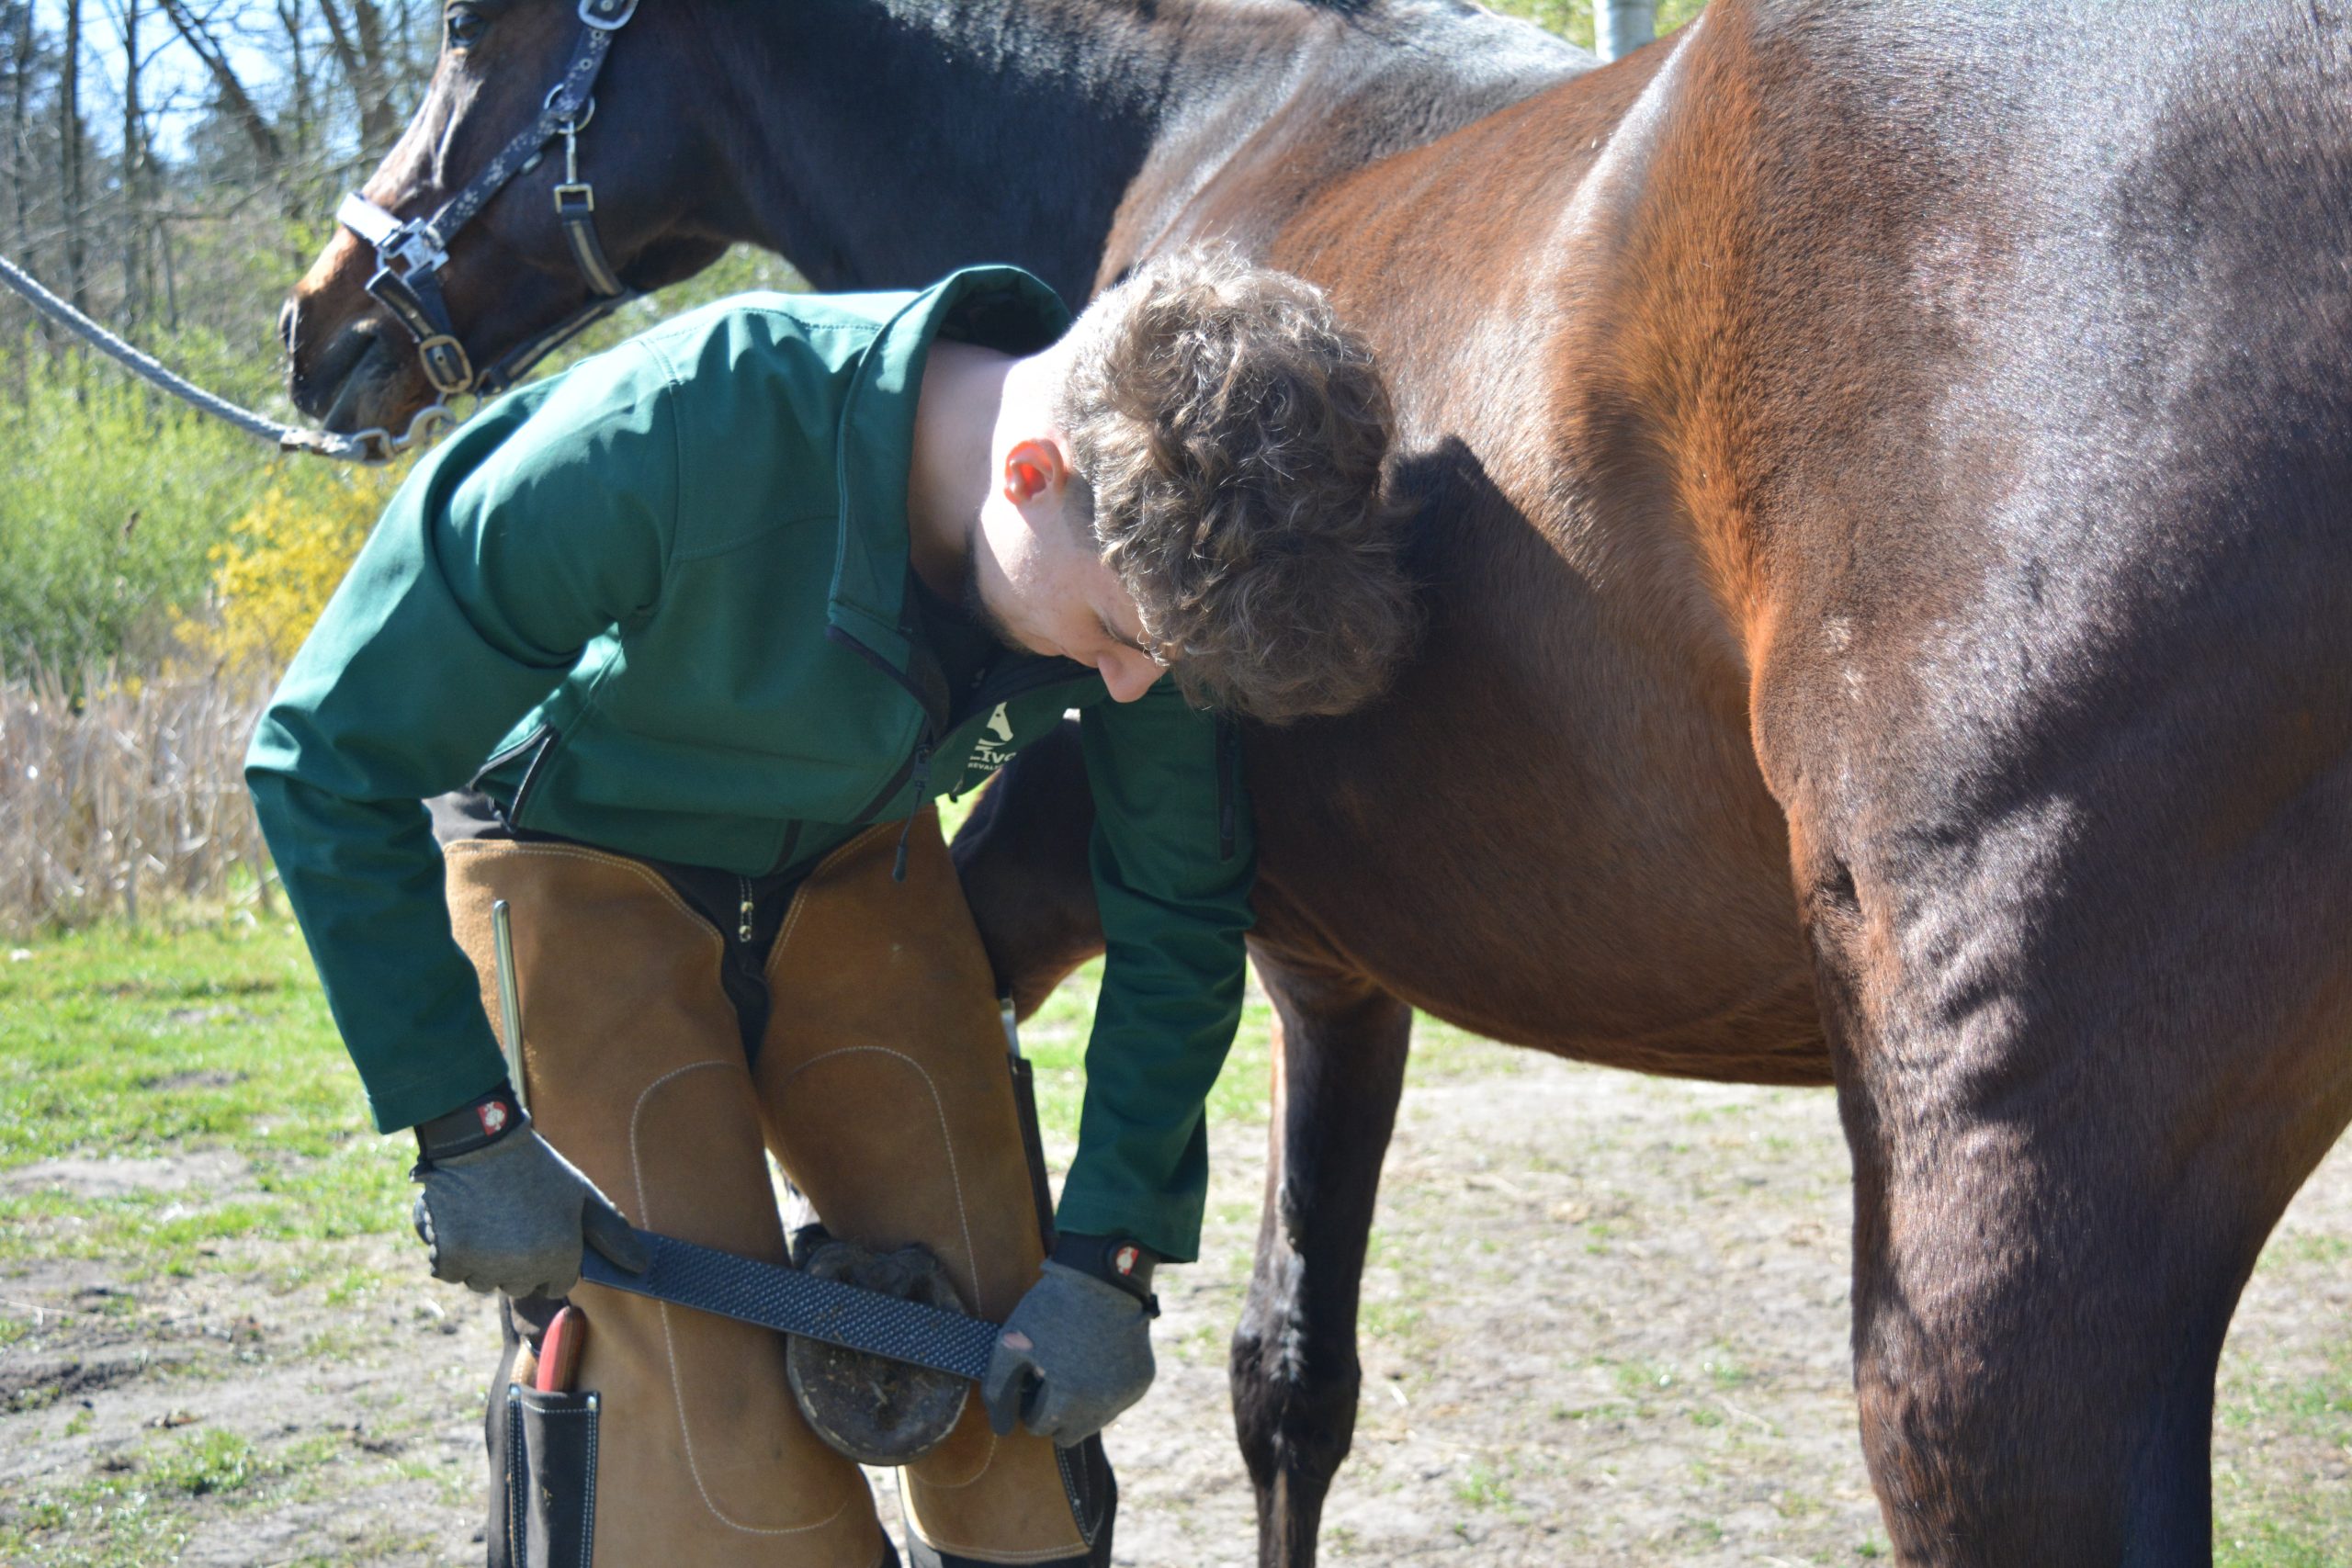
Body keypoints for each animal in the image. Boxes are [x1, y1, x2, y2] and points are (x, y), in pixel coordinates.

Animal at [280, 4, 2352, 1564]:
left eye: (466, 26)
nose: (326, 319)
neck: (1187, 145)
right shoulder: (1330, 975)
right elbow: (1289, 1375)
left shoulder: (1059, 863)